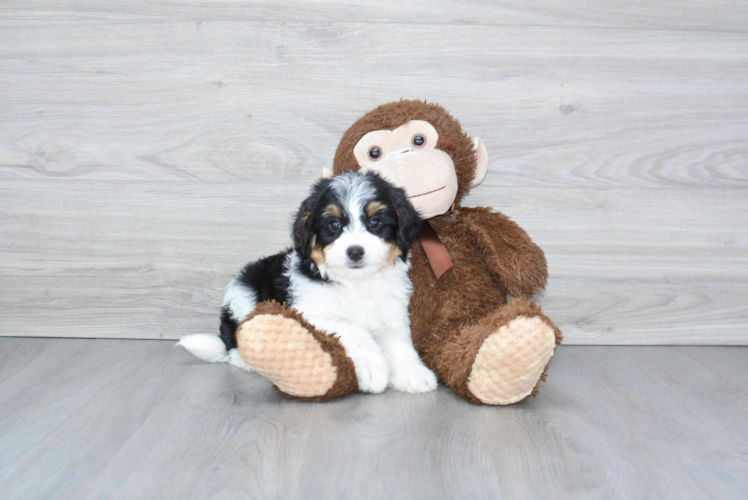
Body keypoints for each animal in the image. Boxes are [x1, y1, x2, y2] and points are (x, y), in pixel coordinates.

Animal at [179, 172, 438, 394]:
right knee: (235, 342)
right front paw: (373, 368)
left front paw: (413, 374)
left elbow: (399, 343)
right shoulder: (310, 312)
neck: (356, 283)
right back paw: (245, 360)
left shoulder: (392, 311)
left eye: (375, 222)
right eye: (334, 225)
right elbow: (352, 329)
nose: (355, 252)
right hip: (243, 294)